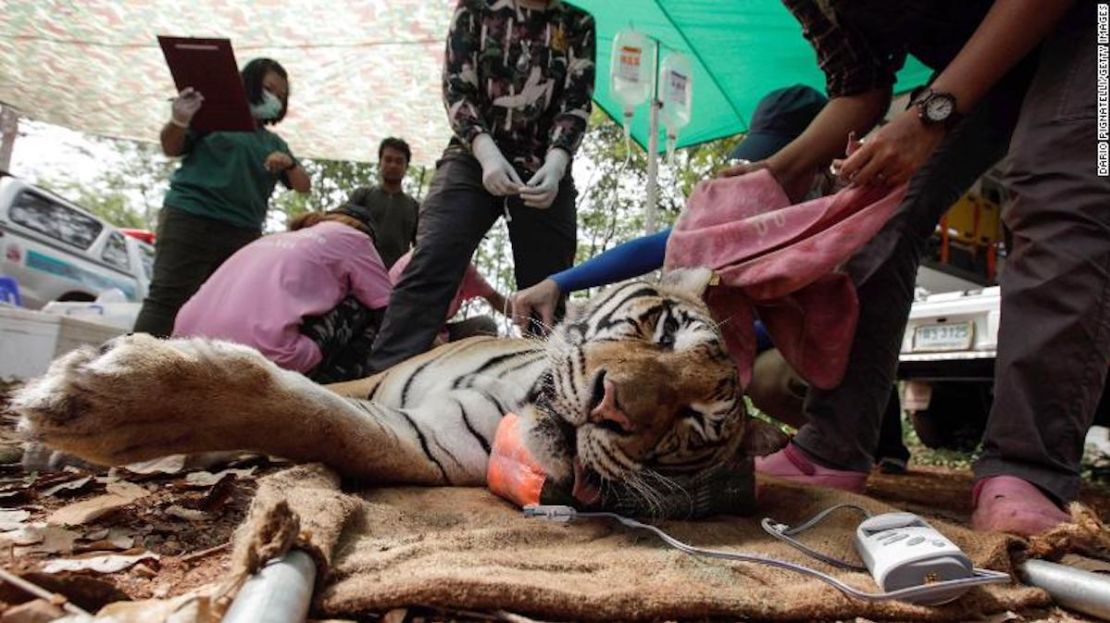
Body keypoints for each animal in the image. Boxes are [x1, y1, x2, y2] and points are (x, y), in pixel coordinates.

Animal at [13, 267, 785, 510]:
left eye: (692, 421)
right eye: (661, 330)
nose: (611, 403)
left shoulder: (422, 441)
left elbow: (306, 415)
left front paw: (104, 399)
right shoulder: (375, 375)